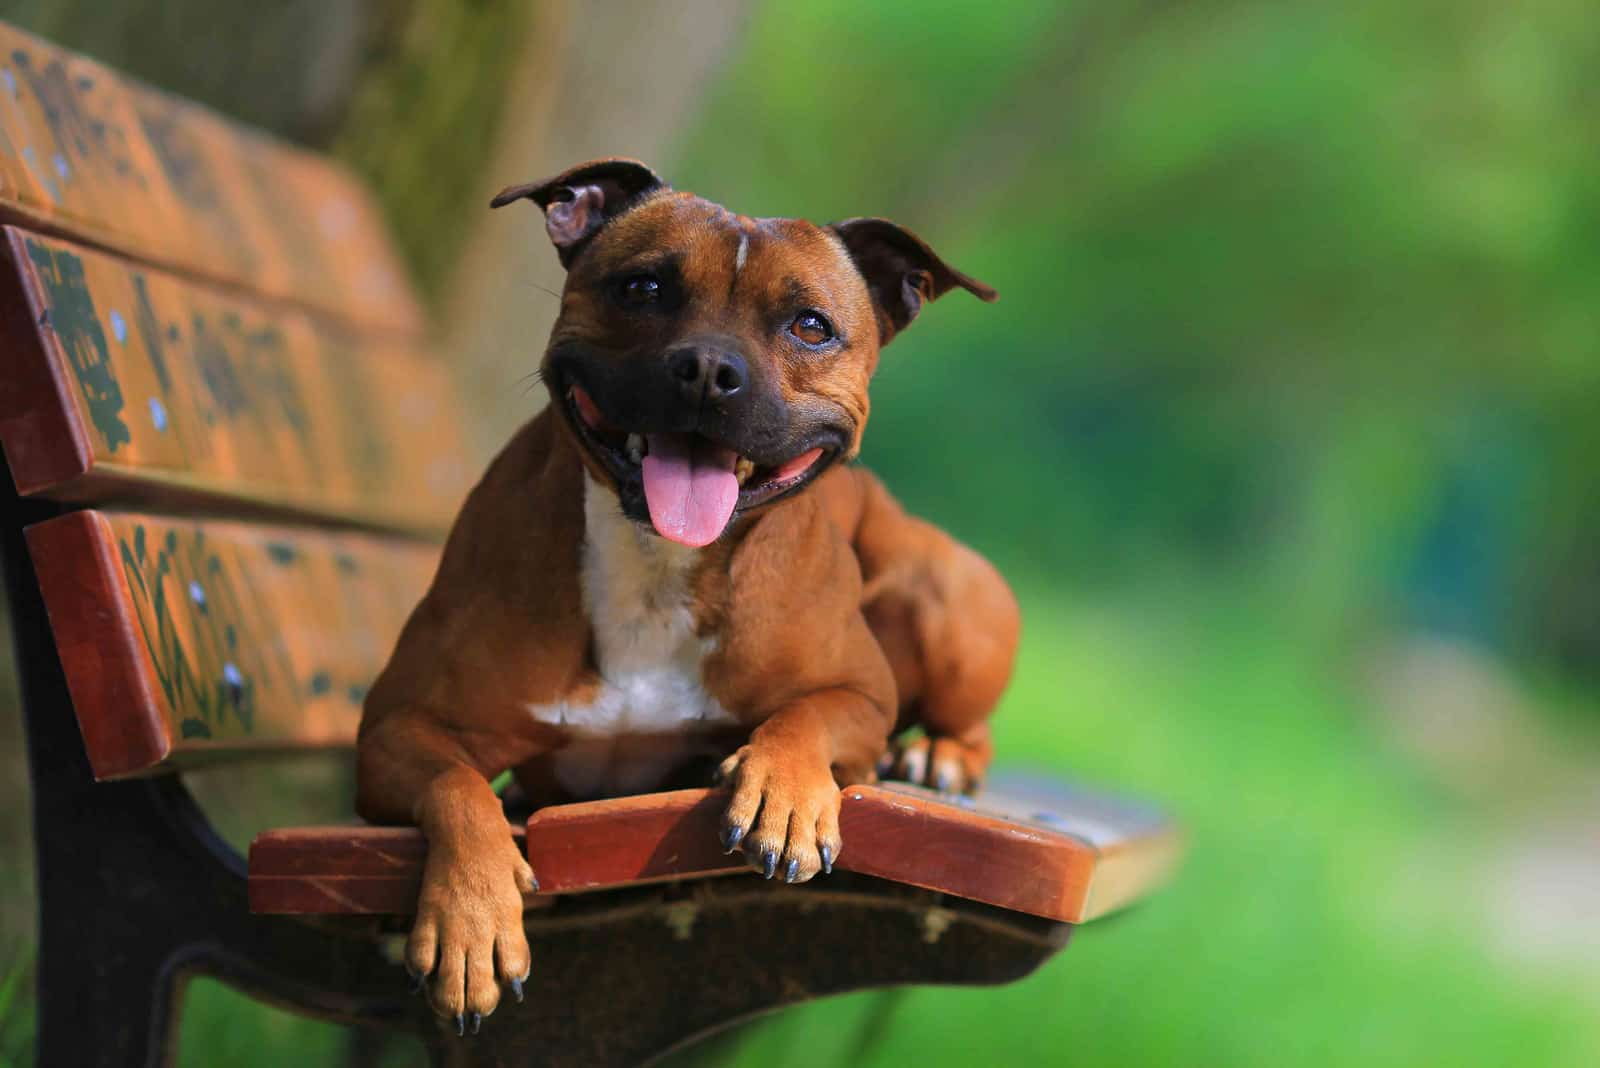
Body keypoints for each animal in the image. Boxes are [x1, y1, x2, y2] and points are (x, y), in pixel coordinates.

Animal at [356, 156, 1017, 1023]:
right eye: (643, 288)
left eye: (811, 326)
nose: (709, 370)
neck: (657, 567)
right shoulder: (395, 727)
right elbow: (458, 784)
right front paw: (472, 918)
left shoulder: (861, 694)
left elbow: (804, 716)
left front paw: (784, 793)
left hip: (944, 595)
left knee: (967, 720)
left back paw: (939, 755)